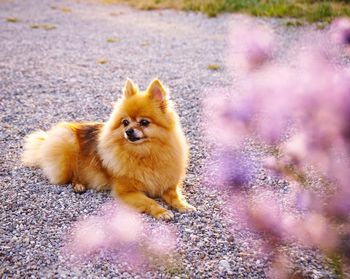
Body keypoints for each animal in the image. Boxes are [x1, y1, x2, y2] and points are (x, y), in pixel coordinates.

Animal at [22, 79, 194, 221]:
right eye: (125, 122)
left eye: (144, 122)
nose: (129, 131)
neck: (144, 153)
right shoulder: (127, 192)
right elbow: (149, 201)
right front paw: (161, 211)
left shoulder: (166, 184)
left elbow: (175, 196)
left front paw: (184, 205)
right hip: (67, 143)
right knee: (72, 175)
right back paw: (79, 185)